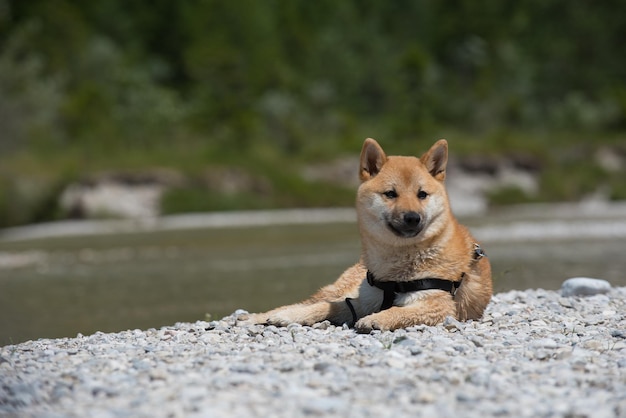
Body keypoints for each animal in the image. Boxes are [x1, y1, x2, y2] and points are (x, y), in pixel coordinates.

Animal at [246, 139, 490, 332]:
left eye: (422, 194)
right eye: (390, 194)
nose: (412, 217)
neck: (395, 269)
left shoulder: (439, 304)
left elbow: (400, 311)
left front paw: (377, 319)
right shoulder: (362, 300)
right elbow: (325, 306)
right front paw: (288, 316)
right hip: (340, 289)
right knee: (311, 301)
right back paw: (259, 317)